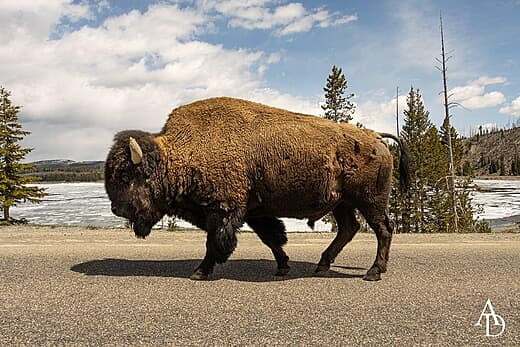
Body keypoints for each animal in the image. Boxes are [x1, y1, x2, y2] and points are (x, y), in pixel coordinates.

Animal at [103, 96, 408, 282]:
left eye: (126, 174)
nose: (116, 209)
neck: (181, 152)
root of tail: (376, 137)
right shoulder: (254, 212)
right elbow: (271, 238)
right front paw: (283, 267)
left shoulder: (223, 210)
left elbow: (215, 242)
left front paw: (199, 272)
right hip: (342, 203)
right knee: (349, 228)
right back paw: (322, 266)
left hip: (369, 200)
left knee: (383, 229)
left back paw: (373, 272)